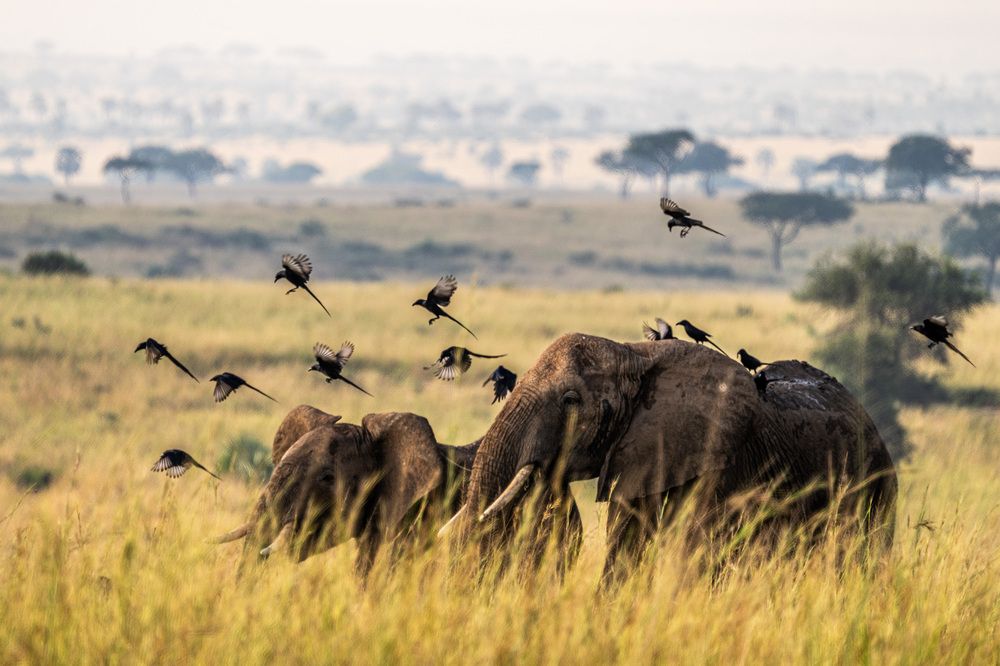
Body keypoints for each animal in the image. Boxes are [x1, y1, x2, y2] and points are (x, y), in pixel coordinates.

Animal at [443, 333, 897, 581]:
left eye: (570, 400)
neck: (635, 354)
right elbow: (624, 554)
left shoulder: (719, 462)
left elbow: (692, 558)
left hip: (875, 485)